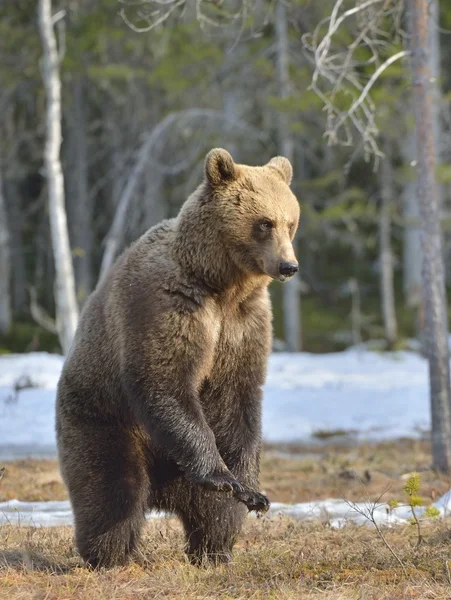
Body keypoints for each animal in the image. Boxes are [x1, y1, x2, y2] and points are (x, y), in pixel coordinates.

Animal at [55, 149, 300, 568]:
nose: (288, 266)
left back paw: (215, 550)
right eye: (263, 223)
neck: (220, 283)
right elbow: (164, 380)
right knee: (112, 490)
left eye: (290, 222)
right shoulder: (169, 304)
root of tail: (164, 494)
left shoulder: (243, 325)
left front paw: (253, 491)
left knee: (213, 512)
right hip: (99, 414)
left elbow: (239, 398)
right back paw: (108, 556)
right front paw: (220, 475)